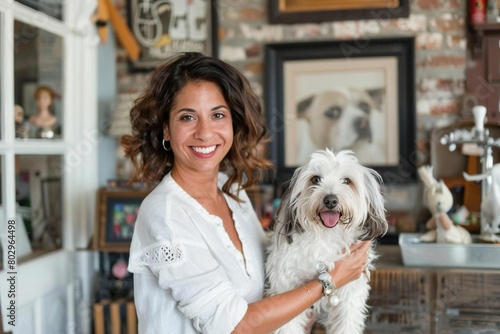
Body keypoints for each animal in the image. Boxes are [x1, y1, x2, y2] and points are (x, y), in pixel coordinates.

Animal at [266, 150, 386, 332]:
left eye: (347, 181)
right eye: (315, 179)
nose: (330, 200)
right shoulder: (284, 285)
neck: (326, 234)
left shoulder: (350, 295)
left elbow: (346, 325)